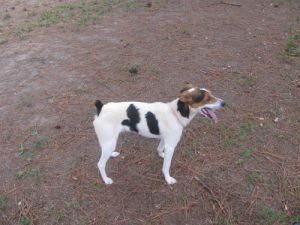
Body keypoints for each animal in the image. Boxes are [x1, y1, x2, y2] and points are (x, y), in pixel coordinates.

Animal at [94, 83, 225, 185]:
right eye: (207, 98)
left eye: (211, 94)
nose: (224, 103)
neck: (175, 113)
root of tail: (101, 108)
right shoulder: (171, 146)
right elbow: (166, 166)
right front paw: (168, 179)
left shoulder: (165, 140)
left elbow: (159, 148)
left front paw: (161, 154)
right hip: (109, 142)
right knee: (100, 164)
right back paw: (106, 180)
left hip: (108, 143)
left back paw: (112, 154)